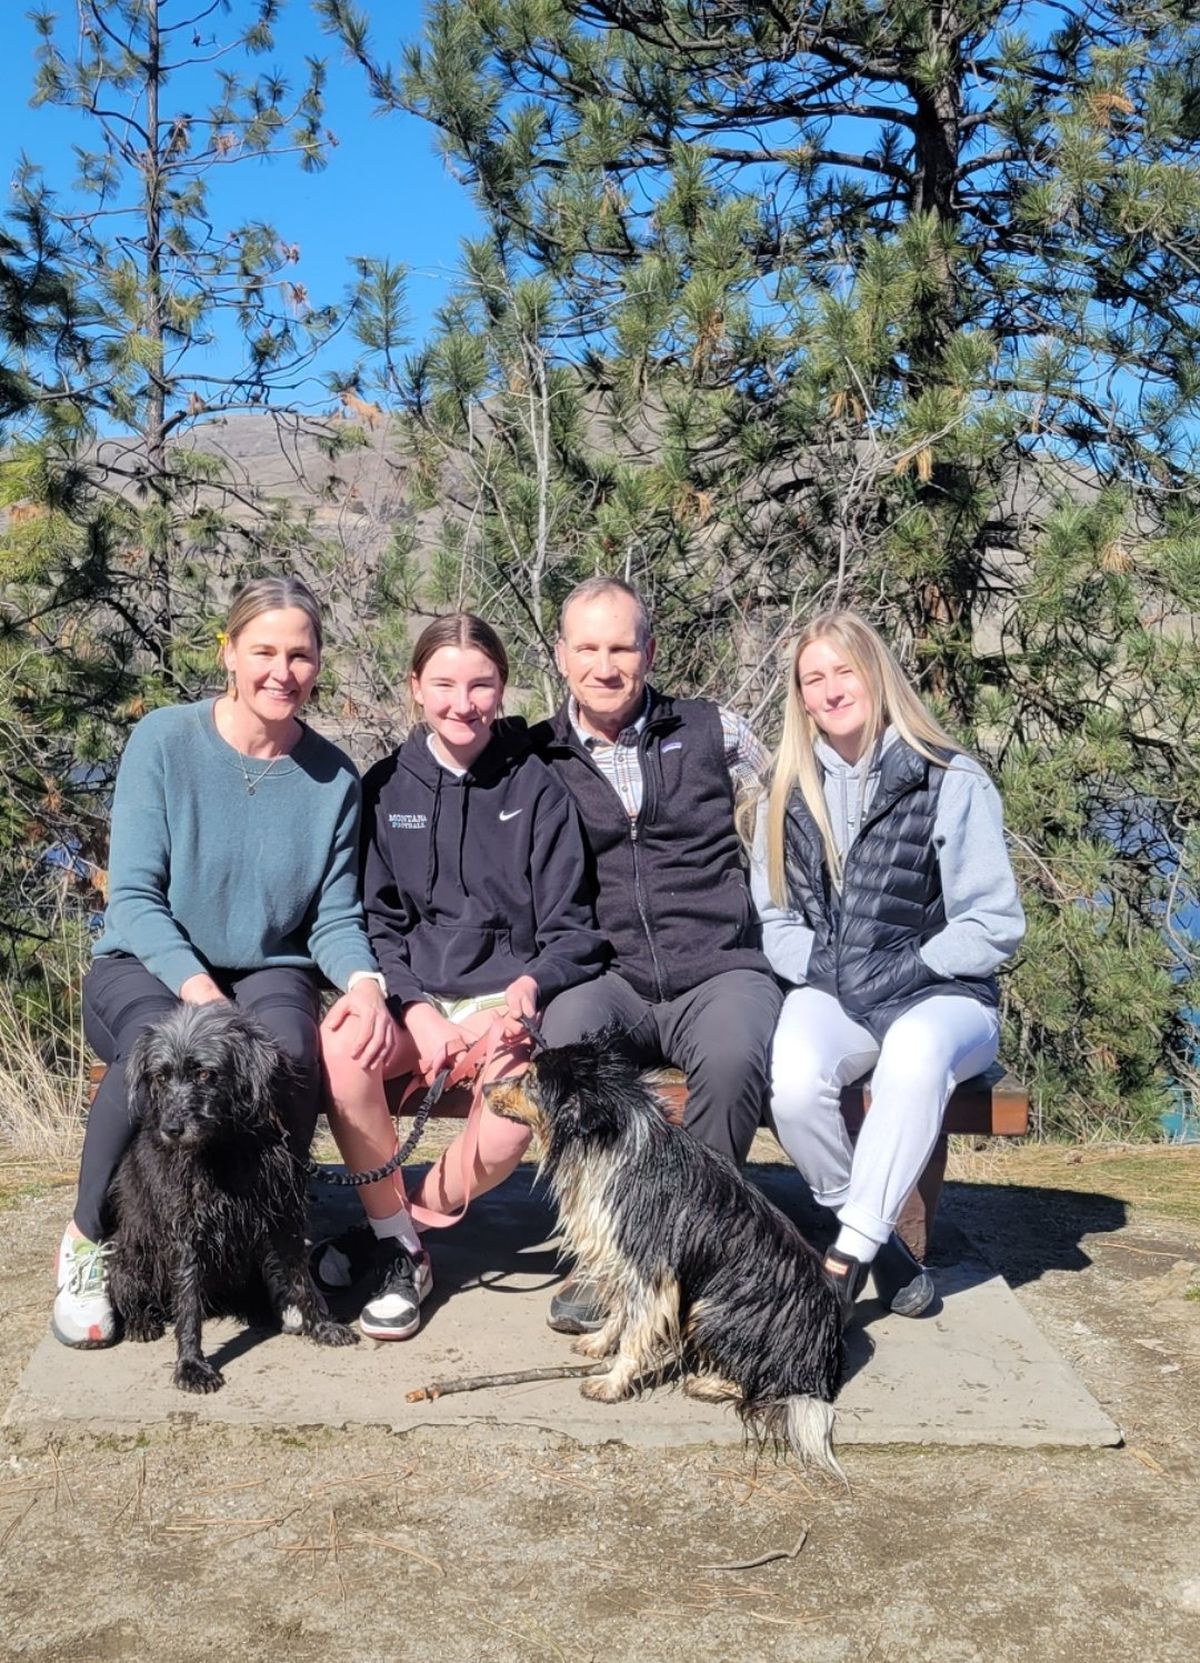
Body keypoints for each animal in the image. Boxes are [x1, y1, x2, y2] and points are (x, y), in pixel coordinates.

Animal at [107, 997, 355, 1390]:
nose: (171, 1129)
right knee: (128, 1292)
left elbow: (301, 1277)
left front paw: (321, 1325)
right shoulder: (185, 1233)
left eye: (205, 1074)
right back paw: (141, 1322)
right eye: (160, 1076)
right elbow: (188, 1306)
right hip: (133, 1255)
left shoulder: (284, 1217)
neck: (226, 1147)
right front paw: (191, 1364)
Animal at [485, 1031, 840, 1476]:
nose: (484, 1088)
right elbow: (621, 1314)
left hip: (711, 1308)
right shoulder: (624, 1258)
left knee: (757, 1383)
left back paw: (708, 1382)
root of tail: (815, 1363)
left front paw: (611, 1383)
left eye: (530, 1079)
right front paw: (599, 1344)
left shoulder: (654, 1271)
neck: (606, 1143)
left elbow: (636, 1334)